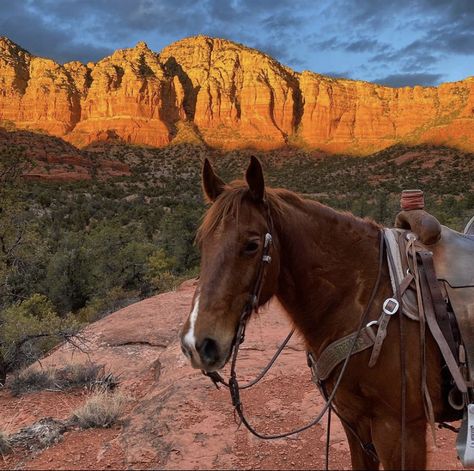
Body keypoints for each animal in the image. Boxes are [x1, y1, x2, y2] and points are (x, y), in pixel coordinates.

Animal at [180, 158, 450, 468]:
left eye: (251, 245)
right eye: (202, 243)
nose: (196, 344)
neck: (364, 297)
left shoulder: (402, 431)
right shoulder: (355, 423)